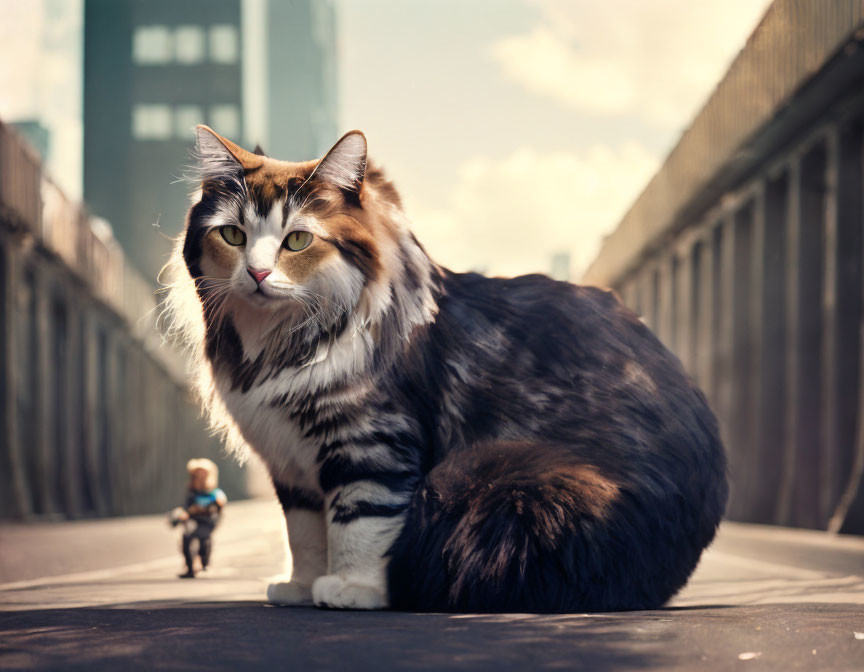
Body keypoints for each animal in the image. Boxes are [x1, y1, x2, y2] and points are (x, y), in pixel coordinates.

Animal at [164, 126, 728, 616]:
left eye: (297, 241)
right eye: (233, 235)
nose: (257, 274)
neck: (277, 345)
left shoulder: (371, 443)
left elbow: (357, 522)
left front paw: (352, 588)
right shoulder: (291, 463)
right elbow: (304, 534)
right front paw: (302, 587)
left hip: (505, 484)